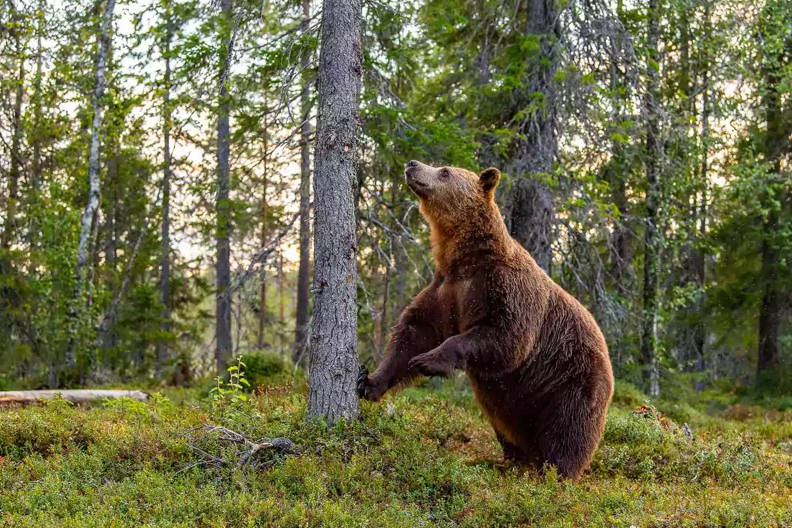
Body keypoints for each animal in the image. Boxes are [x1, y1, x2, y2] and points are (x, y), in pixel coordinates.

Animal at [358, 159, 612, 480]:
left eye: (444, 171)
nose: (412, 164)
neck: (465, 258)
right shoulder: (445, 291)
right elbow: (413, 333)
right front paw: (369, 382)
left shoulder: (505, 289)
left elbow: (506, 338)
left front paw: (428, 361)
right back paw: (510, 460)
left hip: (572, 381)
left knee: (568, 431)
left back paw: (554, 474)